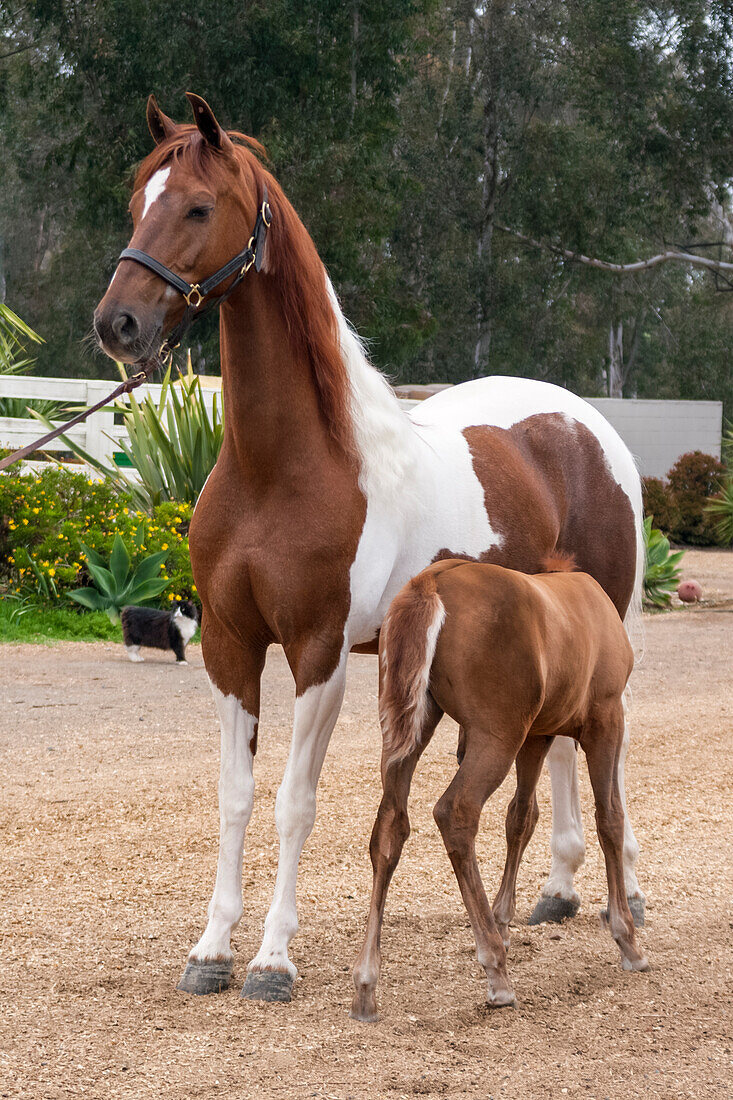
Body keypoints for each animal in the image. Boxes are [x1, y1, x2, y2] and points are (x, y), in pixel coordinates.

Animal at [352, 558, 647, 1020]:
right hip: (496, 737)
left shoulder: (537, 735)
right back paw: (496, 970)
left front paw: (503, 920)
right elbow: (610, 819)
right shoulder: (605, 719)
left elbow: (521, 818)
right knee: (455, 812)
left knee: (389, 830)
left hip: (411, 733)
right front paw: (626, 938)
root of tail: (431, 580)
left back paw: (367, 983)